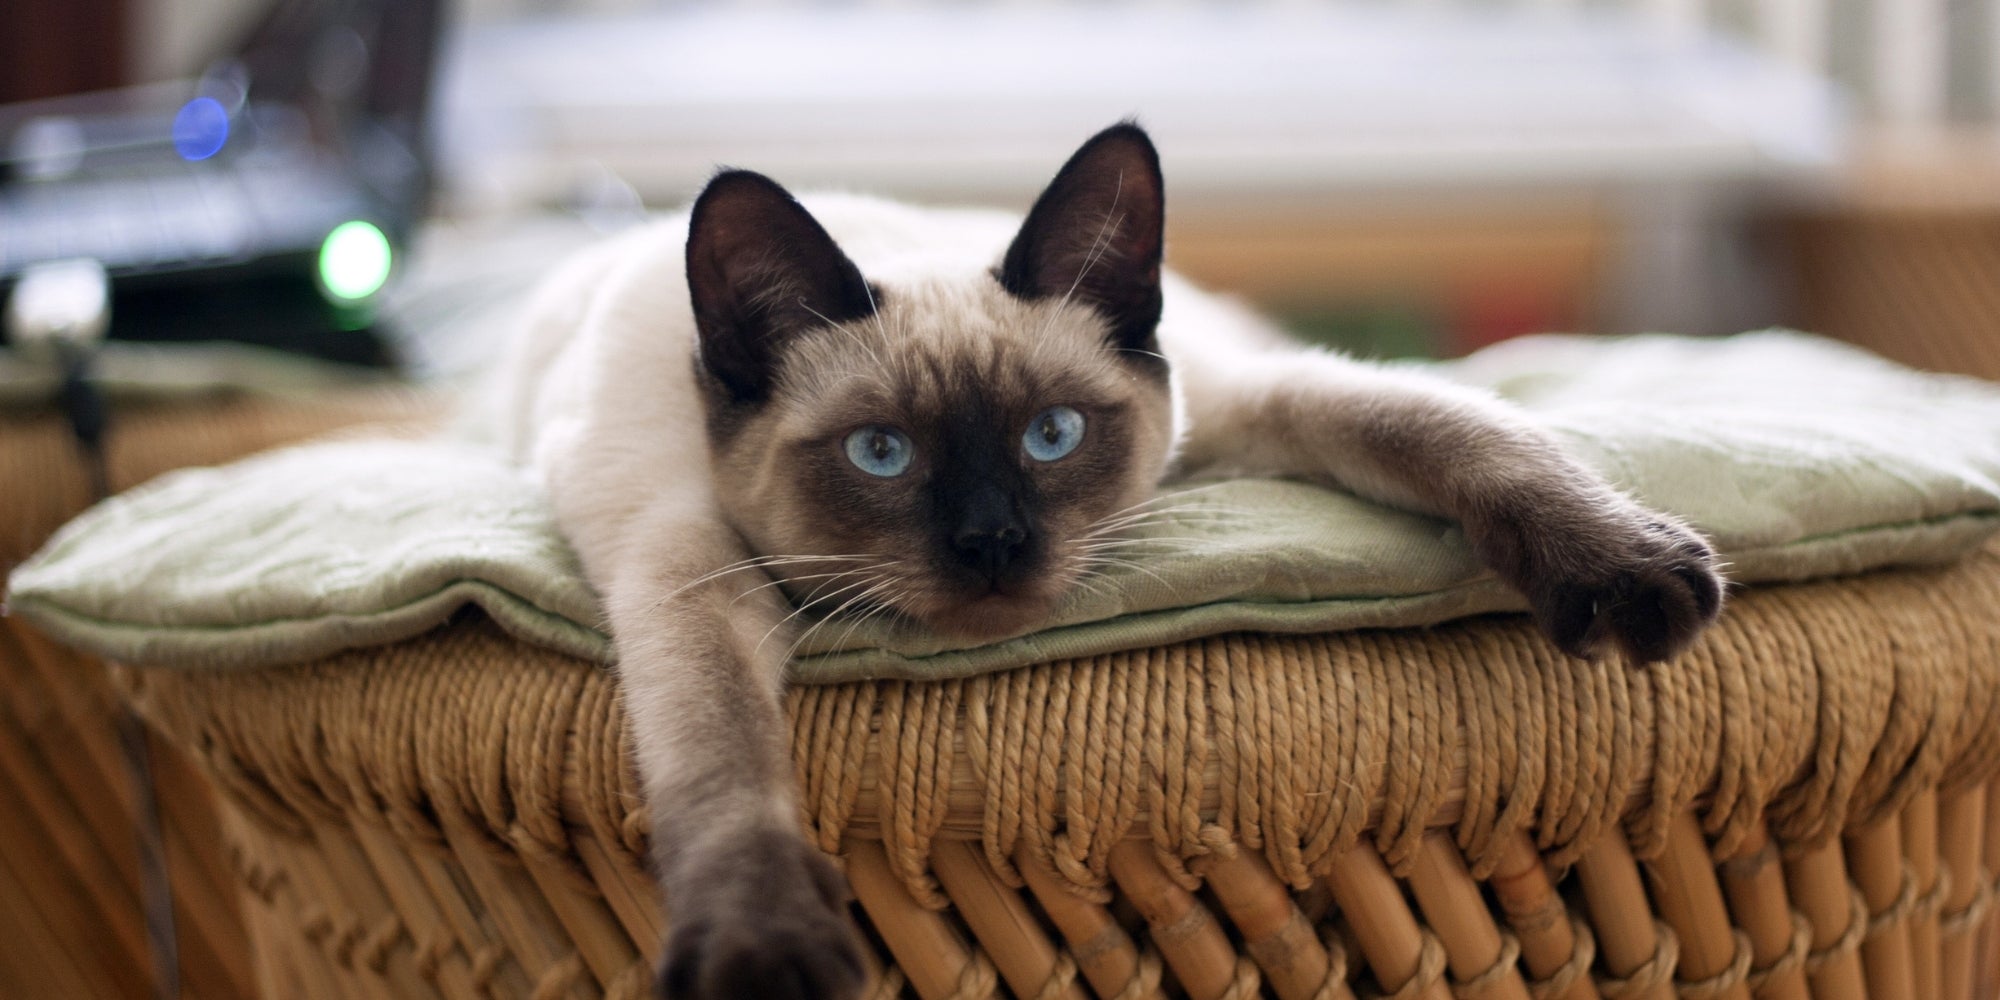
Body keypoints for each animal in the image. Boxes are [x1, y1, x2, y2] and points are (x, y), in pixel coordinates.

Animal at [492, 121, 1728, 996]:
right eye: (882, 454)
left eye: (1052, 436)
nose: (991, 541)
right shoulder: (686, 568)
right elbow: (721, 749)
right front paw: (762, 950)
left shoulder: (1248, 408)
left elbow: (1446, 427)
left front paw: (1626, 566)